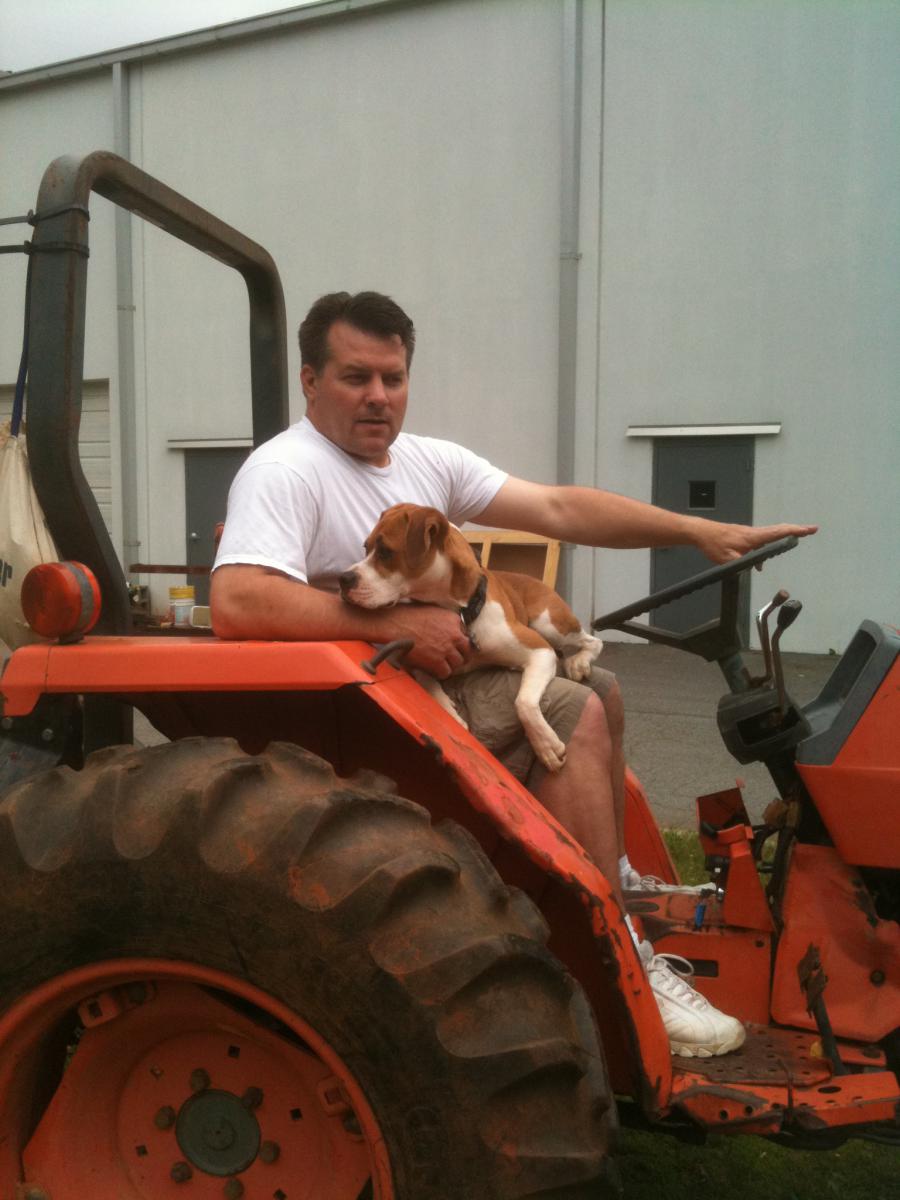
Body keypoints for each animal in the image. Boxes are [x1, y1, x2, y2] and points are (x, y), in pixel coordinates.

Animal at [340, 504, 602, 768]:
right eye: (366, 547)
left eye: (385, 552)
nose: (343, 579)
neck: (461, 611)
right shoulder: (414, 658)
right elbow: (427, 683)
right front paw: (449, 712)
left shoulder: (541, 651)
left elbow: (524, 702)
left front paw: (545, 745)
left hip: (549, 624)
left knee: (594, 641)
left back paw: (579, 661)